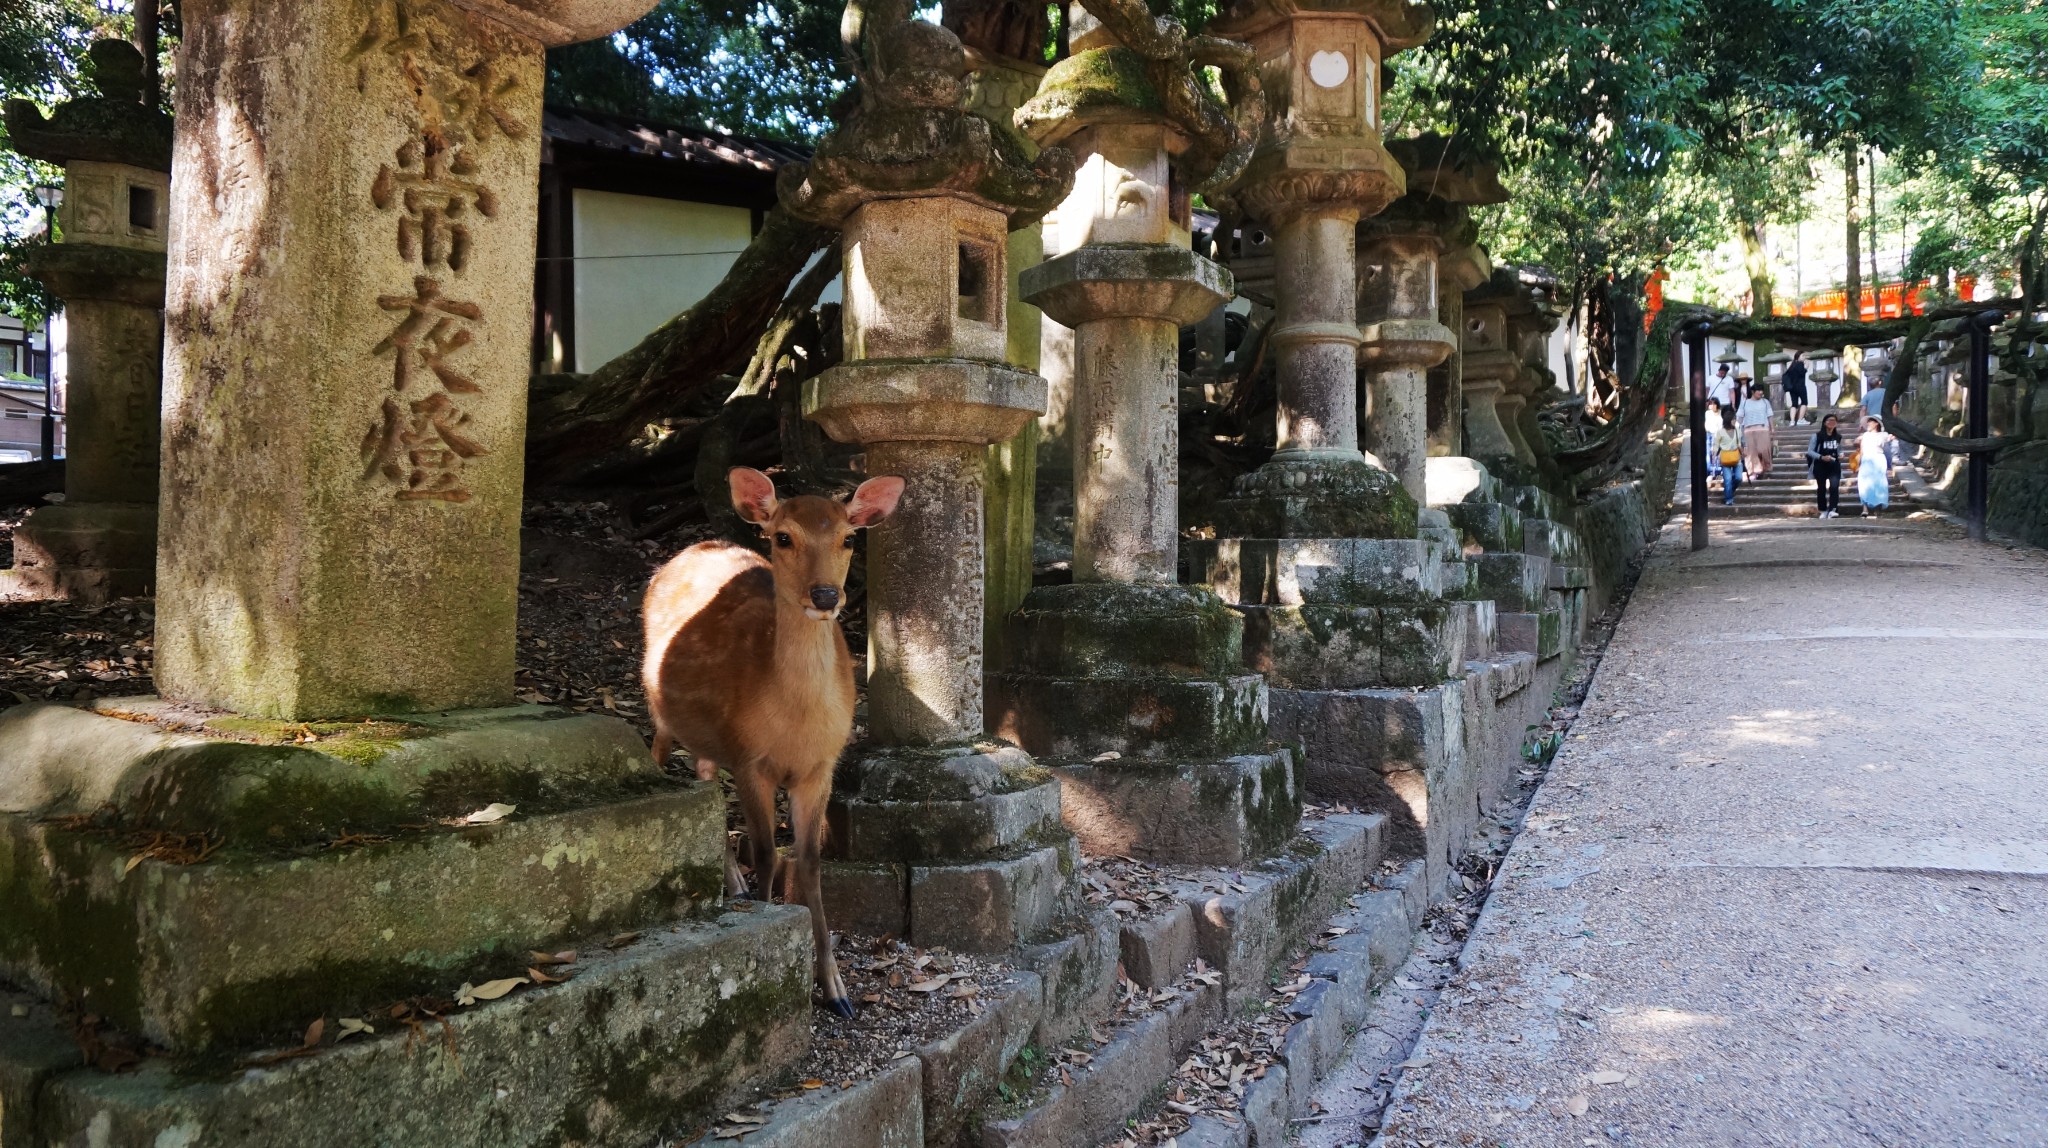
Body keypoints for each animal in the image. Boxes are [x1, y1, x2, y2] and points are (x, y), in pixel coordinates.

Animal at [634, 460, 901, 1014]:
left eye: (848, 538)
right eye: (783, 536)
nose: (826, 595)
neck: (794, 726)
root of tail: (693, 546)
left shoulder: (821, 767)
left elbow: (808, 864)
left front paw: (836, 989)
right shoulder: (751, 760)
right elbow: (765, 854)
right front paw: (767, 933)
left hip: (713, 740)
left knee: (704, 777)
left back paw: (731, 882)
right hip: (659, 705)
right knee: (664, 755)